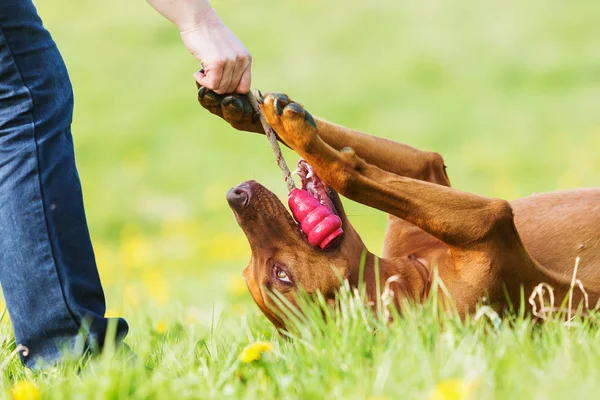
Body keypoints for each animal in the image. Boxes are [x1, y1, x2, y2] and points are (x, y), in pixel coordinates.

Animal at [198, 87, 600, 328]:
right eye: (280, 275)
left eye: (251, 272)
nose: (235, 194)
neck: (418, 277)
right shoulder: (487, 226)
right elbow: (349, 172)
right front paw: (295, 130)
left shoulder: (425, 173)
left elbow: (398, 156)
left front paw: (245, 110)